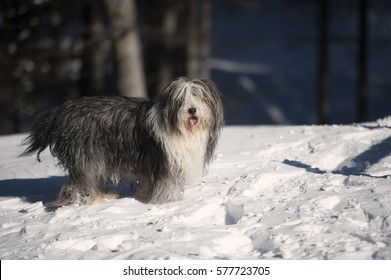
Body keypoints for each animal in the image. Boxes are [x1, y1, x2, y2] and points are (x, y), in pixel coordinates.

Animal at [20, 77, 224, 207]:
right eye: (181, 100)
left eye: (200, 96)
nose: (192, 110)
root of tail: (62, 112)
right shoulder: (164, 161)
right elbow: (167, 183)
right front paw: (169, 201)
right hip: (87, 155)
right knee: (79, 182)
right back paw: (91, 199)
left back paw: (105, 194)